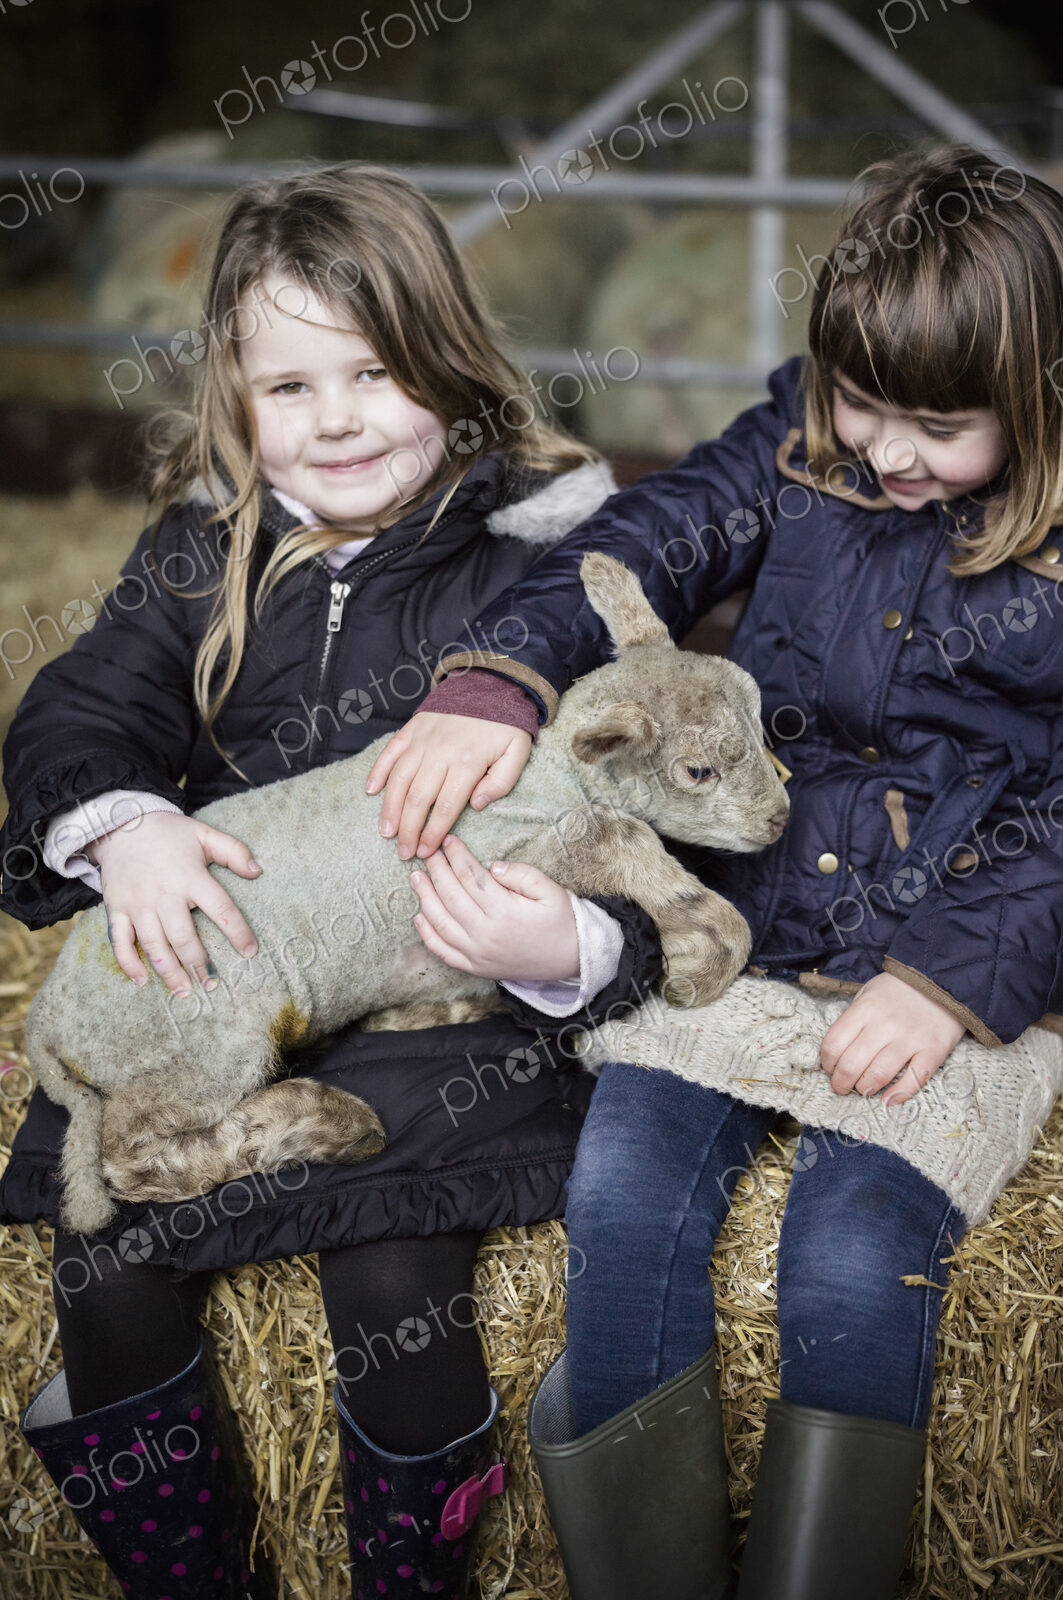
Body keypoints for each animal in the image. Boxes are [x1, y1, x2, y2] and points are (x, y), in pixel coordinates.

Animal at [26, 554, 789, 1234]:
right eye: (698, 770)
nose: (779, 820)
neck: (557, 774)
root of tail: (45, 1017)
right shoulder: (496, 858)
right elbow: (617, 836)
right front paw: (709, 953)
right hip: (199, 1038)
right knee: (132, 1153)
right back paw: (318, 1123)